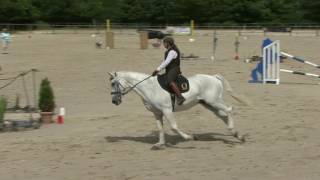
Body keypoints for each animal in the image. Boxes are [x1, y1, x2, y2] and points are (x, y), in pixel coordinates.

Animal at [109, 71, 248, 149]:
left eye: (113, 83)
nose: (114, 101)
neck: (150, 87)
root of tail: (214, 77)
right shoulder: (157, 113)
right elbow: (160, 128)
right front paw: (160, 144)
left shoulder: (167, 110)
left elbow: (174, 127)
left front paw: (190, 137)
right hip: (209, 104)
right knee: (223, 115)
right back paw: (237, 135)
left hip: (214, 101)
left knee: (229, 109)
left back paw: (234, 132)